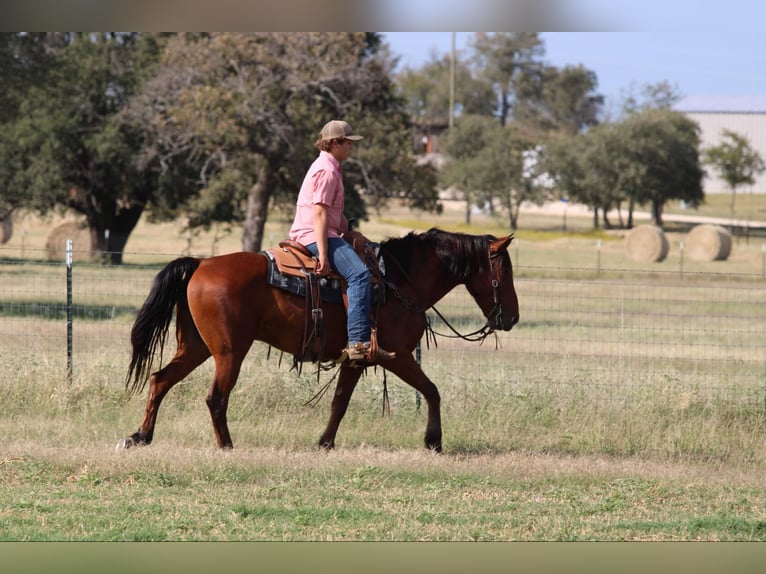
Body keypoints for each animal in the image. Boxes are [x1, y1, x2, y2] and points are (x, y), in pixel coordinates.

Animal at [120, 228, 519, 453]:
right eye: (505, 270)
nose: (511, 317)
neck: (397, 282)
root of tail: (201, 263)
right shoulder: (397, 355)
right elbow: (432, 390)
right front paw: (433, 441)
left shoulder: (357, 358)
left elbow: (339, 402)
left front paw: (325, 442)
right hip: (229, 352)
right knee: (215, 397)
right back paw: (226, 446)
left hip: (196, 347)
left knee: (160, 380)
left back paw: (140, 436)